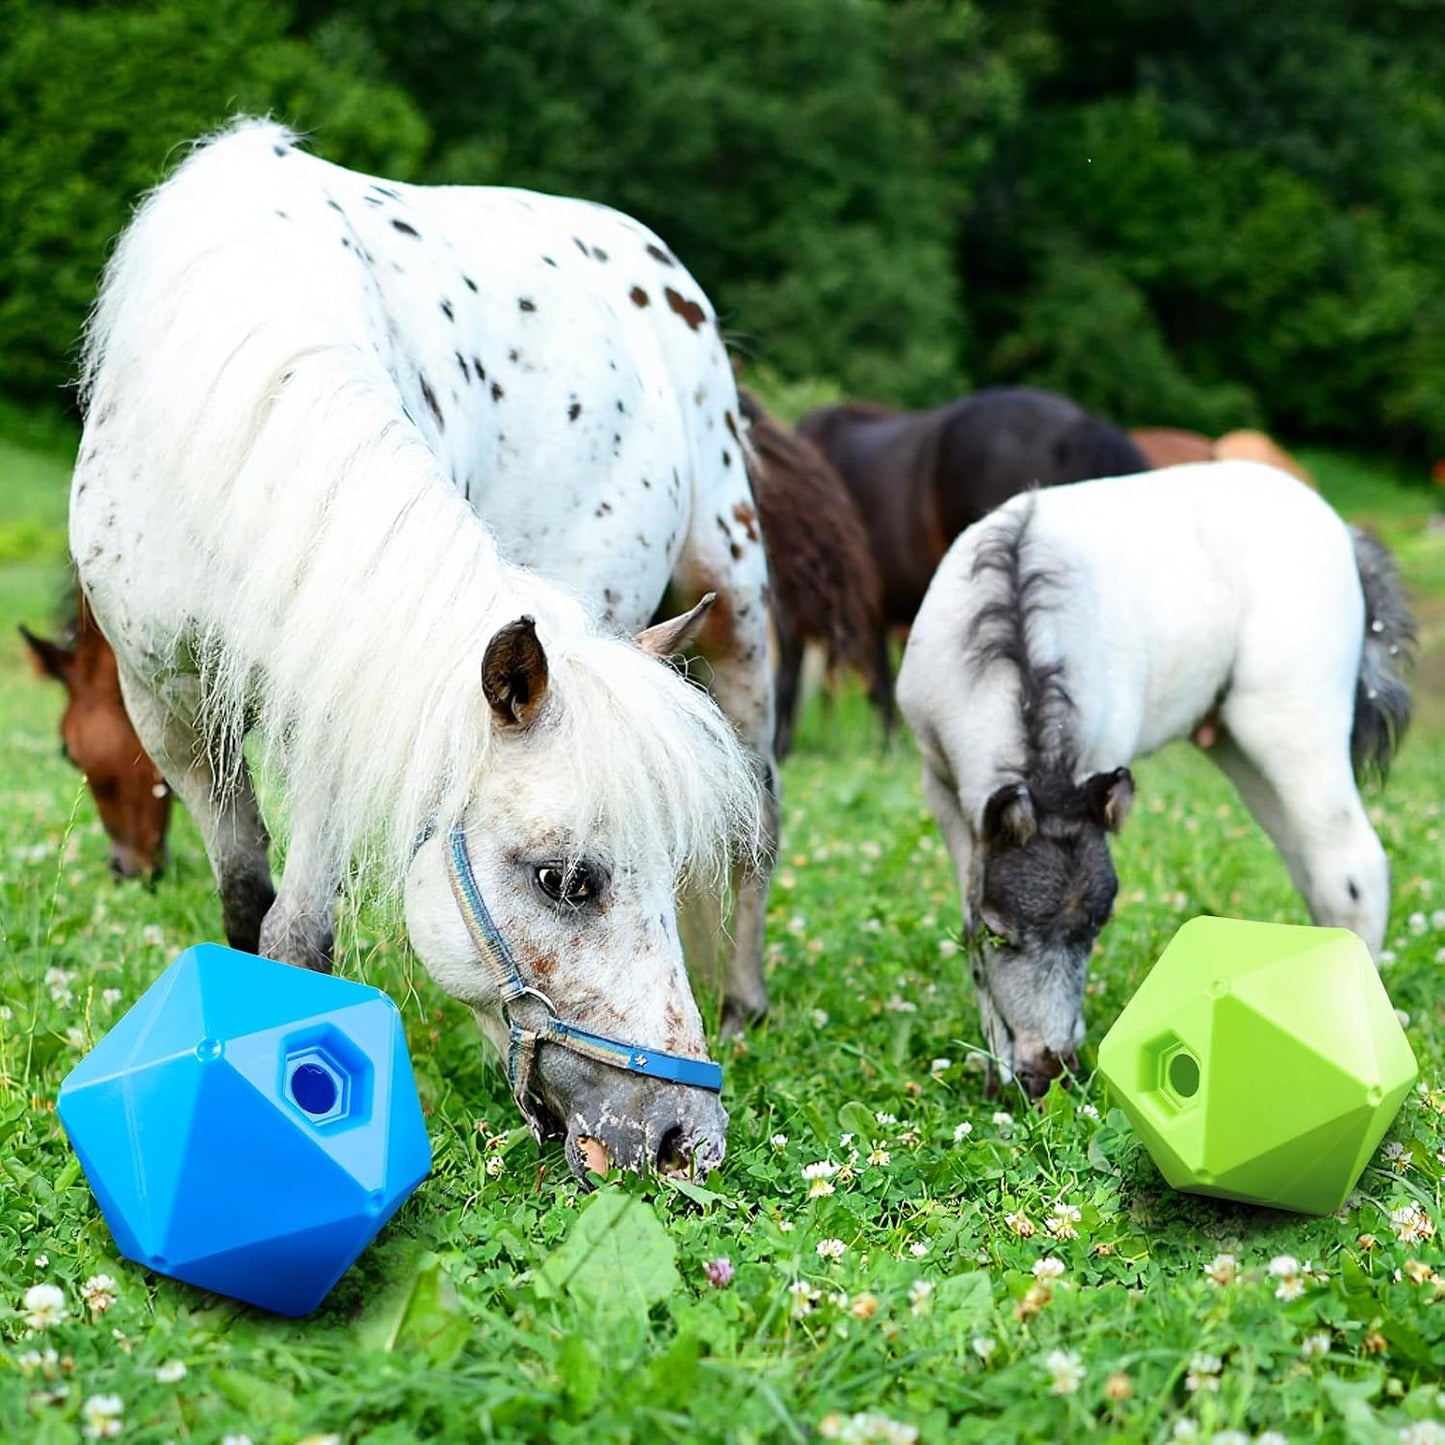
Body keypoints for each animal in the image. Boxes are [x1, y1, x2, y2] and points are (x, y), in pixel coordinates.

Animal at [70, 119, 778, 1183]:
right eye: (565, 880)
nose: (681, 1140)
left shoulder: (339, 709)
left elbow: (297, 932)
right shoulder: (174, 716)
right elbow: (247, 907)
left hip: (737, 609)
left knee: (758, 829)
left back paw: (743, 1003)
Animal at [897, 460, 1413, 1101]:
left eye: (1097, 931)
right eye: (1003, 933)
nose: (1049, 1071)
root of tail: (1345, 531)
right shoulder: (942, 786)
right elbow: (968, 916)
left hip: (1293, 725)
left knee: (1351, 866)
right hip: (1241, 745)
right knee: (1312, 864)